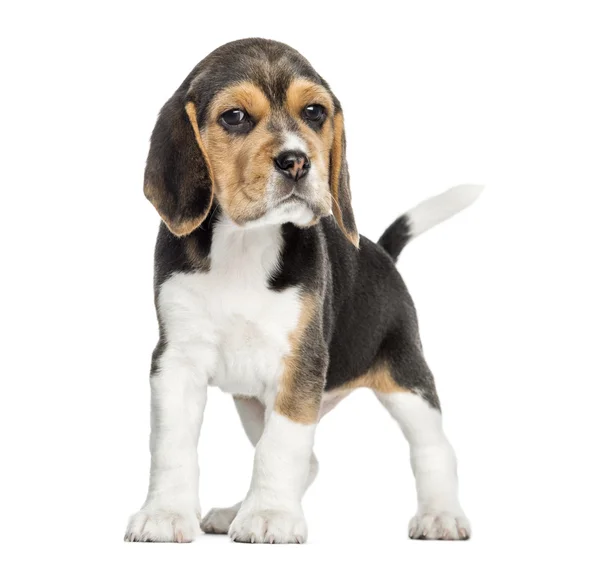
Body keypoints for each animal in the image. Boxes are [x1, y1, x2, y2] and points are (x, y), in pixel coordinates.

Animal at [125, 37, 482, 544]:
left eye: (314, 112)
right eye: (234, 117)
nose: (296, 161)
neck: (245, 243)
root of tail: (382, 254)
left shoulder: (301, 365)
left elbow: (280, 449)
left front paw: (270, 515)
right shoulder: (175, 360)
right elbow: (172, 447)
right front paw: (166, 514)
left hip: (405, 377)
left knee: (435, 449)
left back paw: (441, 515)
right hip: (253, 402)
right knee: (310, 461)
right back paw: (233, 511)